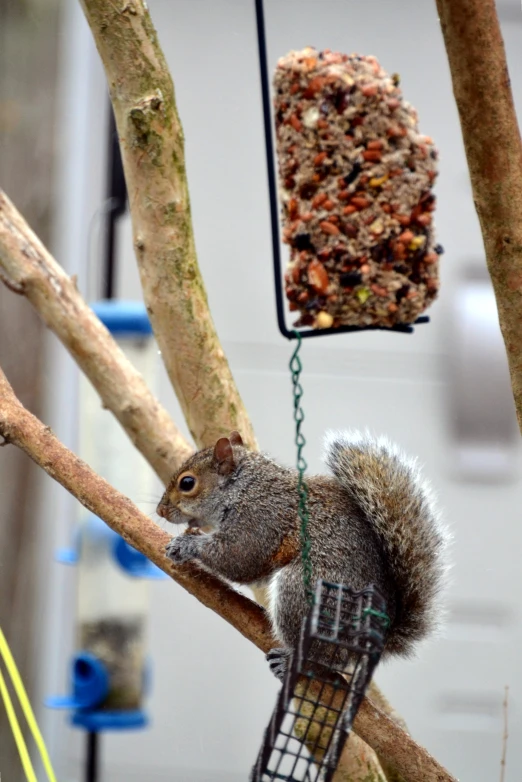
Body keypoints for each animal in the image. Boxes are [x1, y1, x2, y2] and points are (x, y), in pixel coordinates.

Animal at [156, 428, 444, 680]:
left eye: (187, 483)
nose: (160, 511)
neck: (244, 488)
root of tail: (374, 638)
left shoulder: (260, 519)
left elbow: (238, 558)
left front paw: (185, 545)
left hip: (303, 592)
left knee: (324, 657)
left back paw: (290, 662)